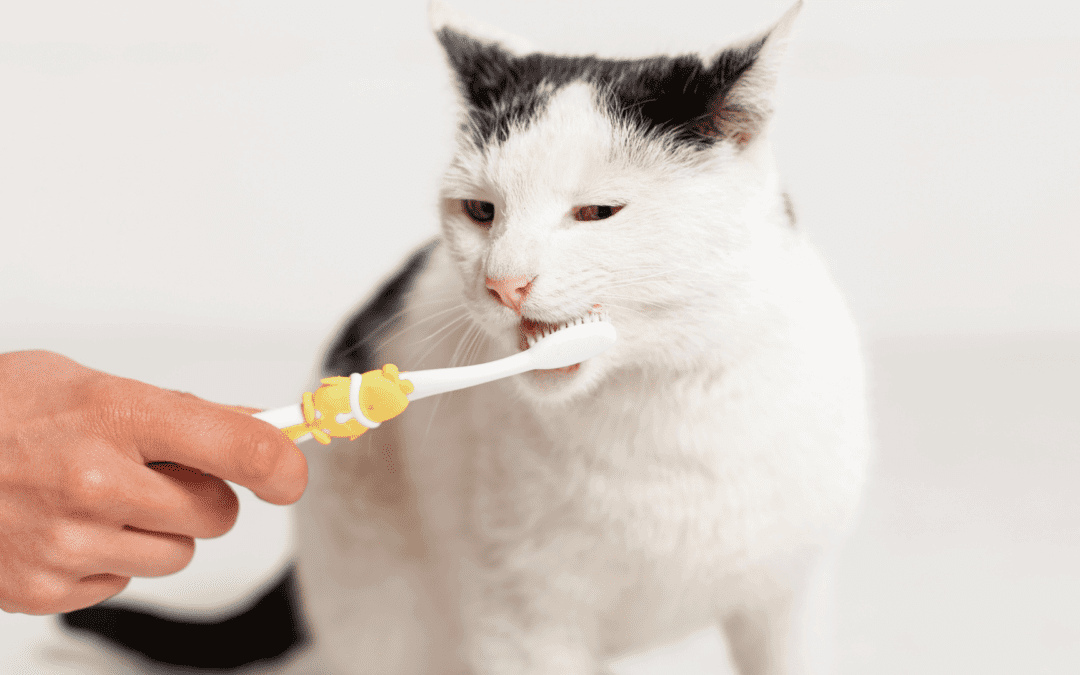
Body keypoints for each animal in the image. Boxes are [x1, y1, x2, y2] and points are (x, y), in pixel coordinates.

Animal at [56, 1, 868, 673]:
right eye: (481, 211)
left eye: (597, 212)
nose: (505, 282)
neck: (660, 413)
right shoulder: (519, 623)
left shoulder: (788, 599)